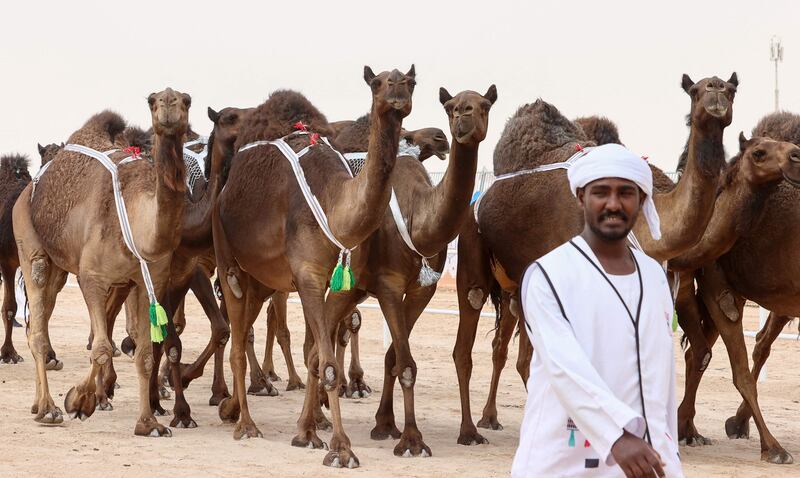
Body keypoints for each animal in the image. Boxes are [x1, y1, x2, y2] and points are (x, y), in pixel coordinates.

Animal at [15, 87, 191, 436]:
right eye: (152, 100)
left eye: (187, 100)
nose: (168, 104)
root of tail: (29, 188)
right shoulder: (92, 277)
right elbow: (101, 347)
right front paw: (78, 400)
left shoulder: (147, 281)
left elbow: (145, 353)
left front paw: (148, 423)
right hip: (28, 241)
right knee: (37, 325)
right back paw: (49, 409)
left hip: (59, 267)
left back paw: (39, 405)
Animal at [209, 64, 416, 466]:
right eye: (377, 82)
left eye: (411, 81)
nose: (399, 94)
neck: (335, 205)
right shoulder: (307, 276)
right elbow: (329, 364)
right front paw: (341, 447)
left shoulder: (337, 283)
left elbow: (320, 357)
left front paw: (311, 433)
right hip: (229, 261)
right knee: (237, 338)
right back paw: (246, 425)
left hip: (261, 279)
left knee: (246, 330)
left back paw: (235, 410)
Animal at [454, 74, 740, 444]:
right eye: (696, 90)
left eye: (731, 89)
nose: (717, 93)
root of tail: (479, 198)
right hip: (475, 251)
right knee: (473, 334)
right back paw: (471, 430)